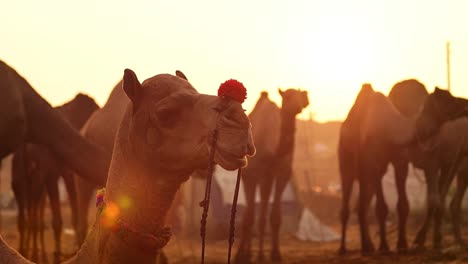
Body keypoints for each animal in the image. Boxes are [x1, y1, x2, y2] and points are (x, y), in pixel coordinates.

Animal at [236, 89, 308, 262]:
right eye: (287, 97)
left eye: (300, 96)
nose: (297, 106)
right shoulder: (252, 175)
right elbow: (249, 217)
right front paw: (243, 255)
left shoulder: (282, 174)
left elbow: (275, 216)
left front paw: (275, 253)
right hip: (252, 177)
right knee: (250, 213)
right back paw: (245, 253)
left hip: (266, 179)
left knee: (262, 209)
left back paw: (258, 253)